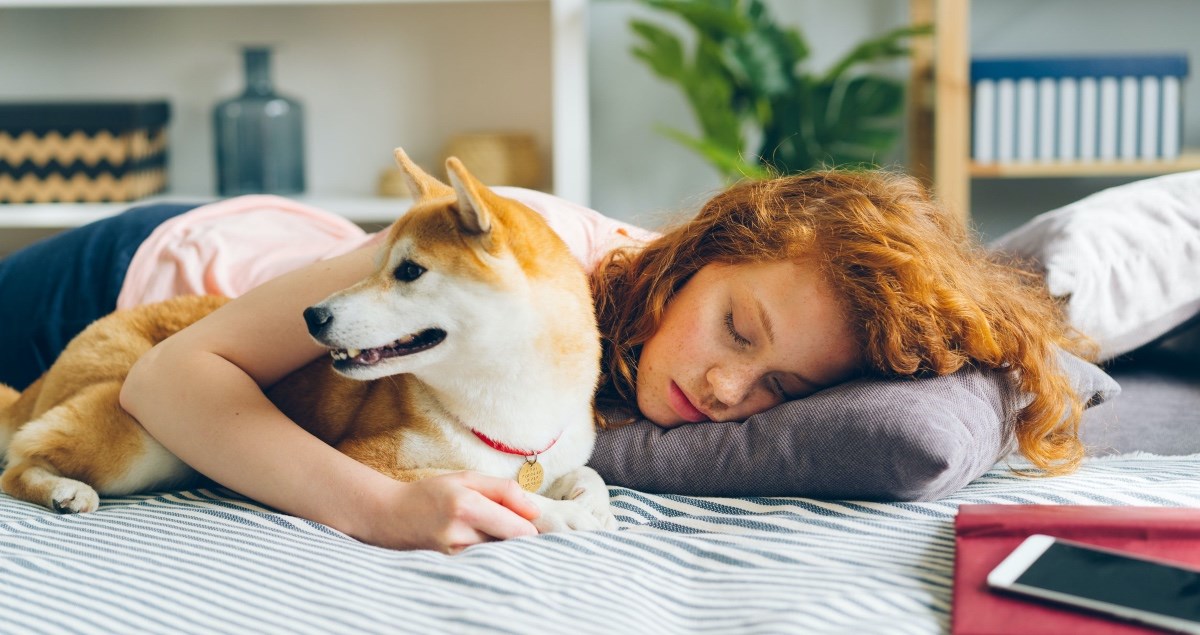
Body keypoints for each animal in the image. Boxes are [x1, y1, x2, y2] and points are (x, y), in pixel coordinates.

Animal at [0, 148, 614, 535]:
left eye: (408, 271)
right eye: (372, 265)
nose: (311, 315)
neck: (510, 415)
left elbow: (586, 476)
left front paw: (588, 501)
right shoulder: (366, 460)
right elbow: (499, 491)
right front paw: (561, 515)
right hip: (139, 442)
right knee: (18, 460)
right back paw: (63, 490)